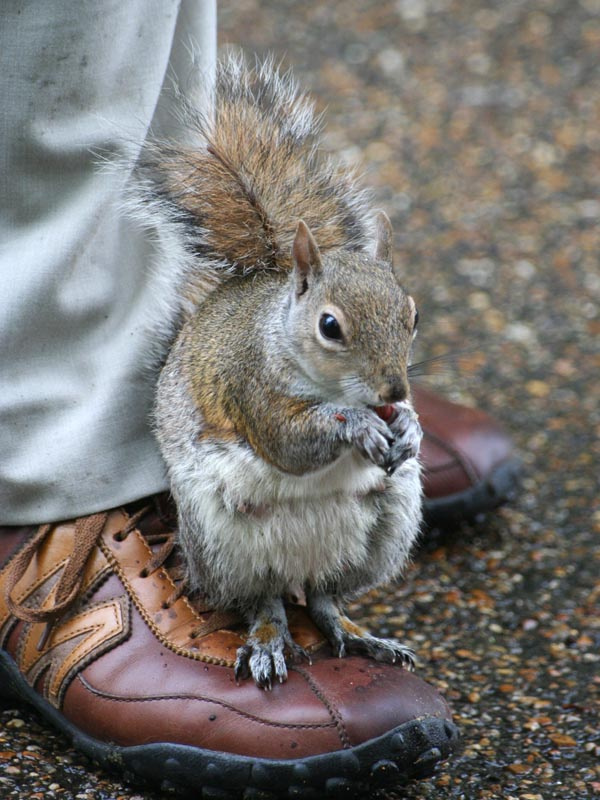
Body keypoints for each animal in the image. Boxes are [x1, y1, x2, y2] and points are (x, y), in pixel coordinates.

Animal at [138, 56, 423, 689]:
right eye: (330, 326)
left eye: (413, 314)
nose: (394, 389)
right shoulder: (252, 389)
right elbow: (289, 442)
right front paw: (357, 426)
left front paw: (411, 427)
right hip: (225, 546)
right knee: (265, 600)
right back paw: (269, 639)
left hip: (385, 531)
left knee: (323, 598)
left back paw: (359, 634)